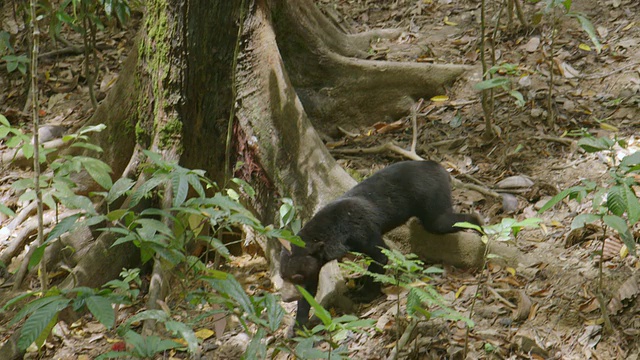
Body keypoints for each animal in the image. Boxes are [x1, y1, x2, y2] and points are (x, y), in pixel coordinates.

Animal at [280, 162, 480, 330]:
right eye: (283, 276)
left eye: (296, 277)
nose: (286, 297)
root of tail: (438, 166)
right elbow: (309, 291)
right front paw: (297, 326)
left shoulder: (359, 230)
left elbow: (380, 255)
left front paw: (362, 294)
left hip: (431, 194)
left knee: (439, 221)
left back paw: (478, 222)